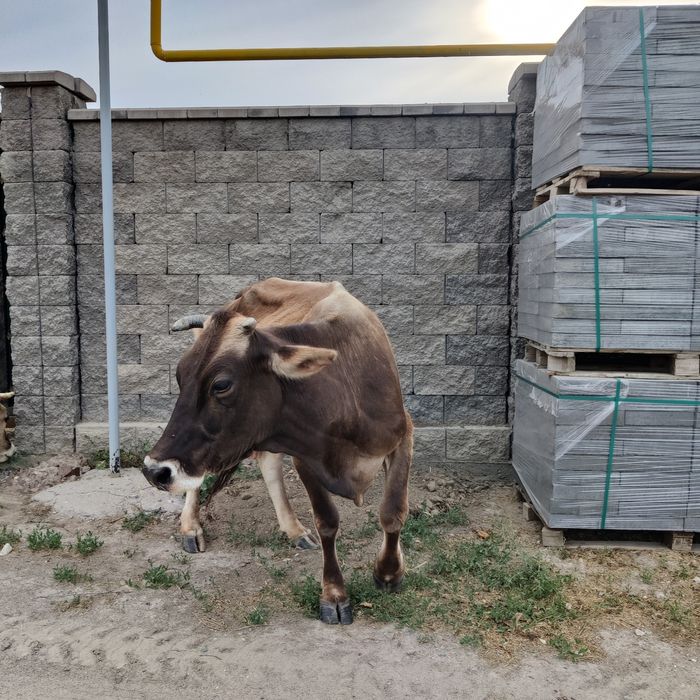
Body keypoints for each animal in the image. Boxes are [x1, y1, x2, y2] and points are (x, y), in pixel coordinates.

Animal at [142, 278, 412, 625]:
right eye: (179, 376)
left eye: (221, 385)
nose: (153, 470)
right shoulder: (304, 456)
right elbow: (327, 522)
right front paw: (334, 595)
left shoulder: (403, 435)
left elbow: (392, 511)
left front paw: (389, 573)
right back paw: (191, 526)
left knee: (266, 464)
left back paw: (294, 530)